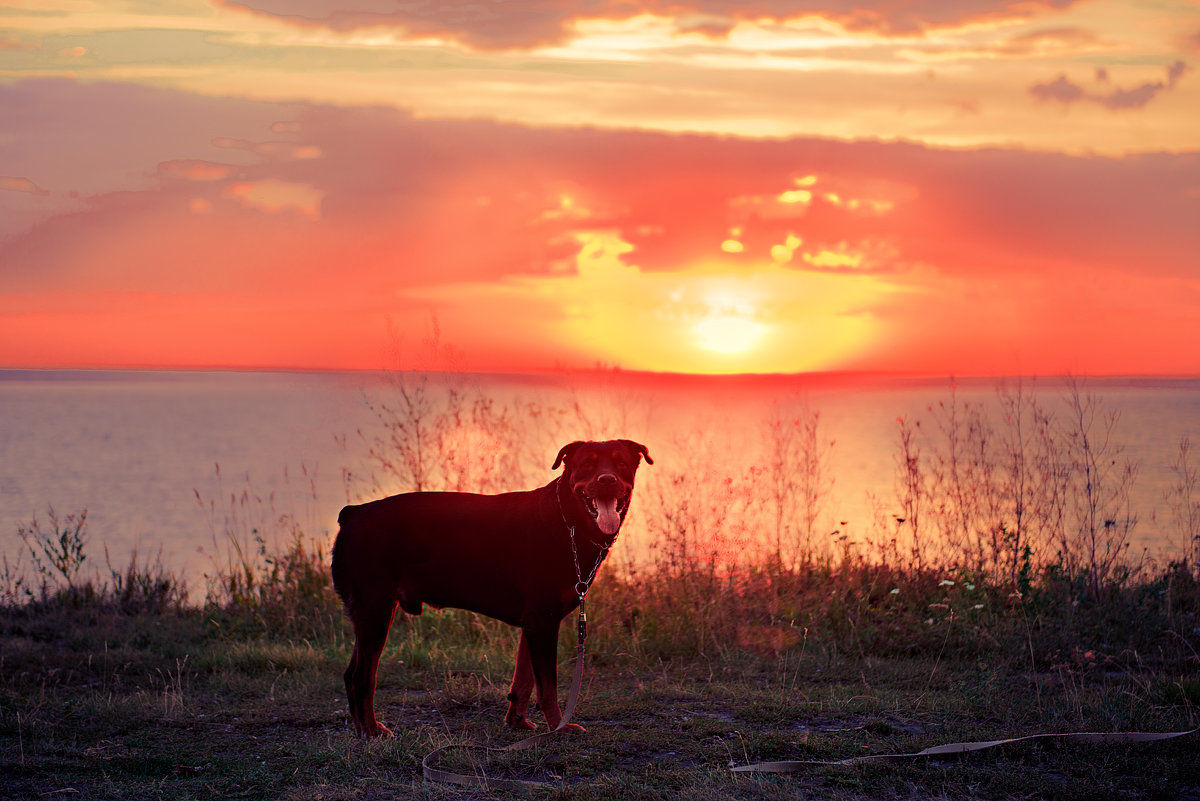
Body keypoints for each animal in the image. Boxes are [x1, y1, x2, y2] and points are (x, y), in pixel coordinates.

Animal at [328, 438, 652, 738]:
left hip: (370, 612)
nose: (607, 479)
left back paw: (363, 729)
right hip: (376, 608)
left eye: (621, 464)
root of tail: (352, 514)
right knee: (362, 676)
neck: (568, 521)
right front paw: (558, 727)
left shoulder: (533, 622)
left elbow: (524, 678)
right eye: (587, 464)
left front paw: (517, 721)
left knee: (350, 674)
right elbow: (548, 685)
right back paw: (372, 731)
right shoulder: (543, 620)